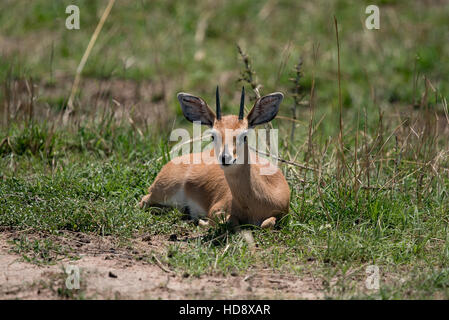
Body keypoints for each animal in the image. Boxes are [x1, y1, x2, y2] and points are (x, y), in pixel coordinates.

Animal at [138, 86, 288, 229]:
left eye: (244, 136)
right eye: (213, 136)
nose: (225, 158)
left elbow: (267, 223)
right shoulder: (215, 210)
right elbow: (230, 221)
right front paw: (202, 222)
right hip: (162, 192)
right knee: (143, 202)